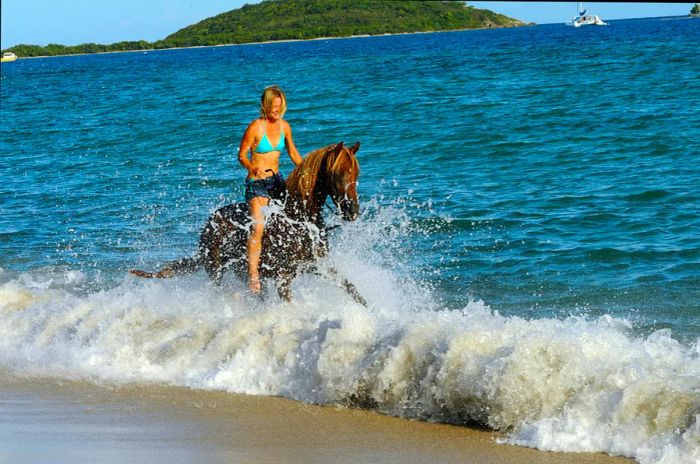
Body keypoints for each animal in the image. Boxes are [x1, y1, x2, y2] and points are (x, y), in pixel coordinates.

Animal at [129, 143, 366, 306]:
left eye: (356, 173)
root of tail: (209, 226)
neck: (298, 220)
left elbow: (352, 289)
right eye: (338, 173)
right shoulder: (283, 277)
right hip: (218, 273)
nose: (352, 211)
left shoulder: (318, 266)